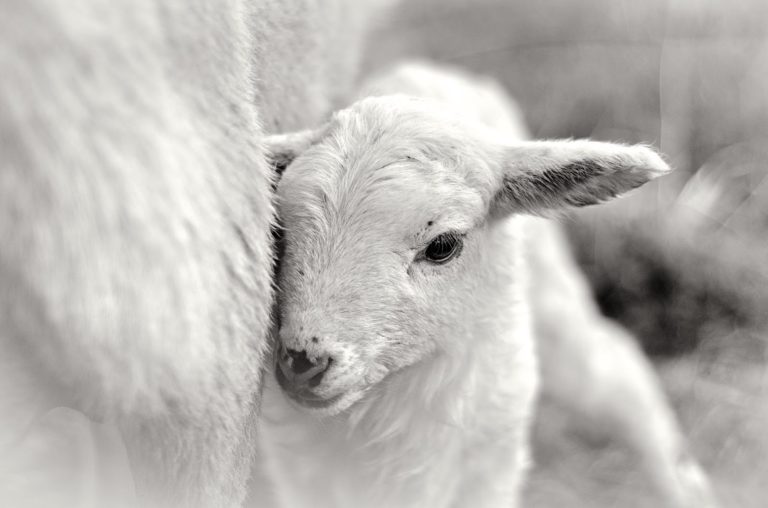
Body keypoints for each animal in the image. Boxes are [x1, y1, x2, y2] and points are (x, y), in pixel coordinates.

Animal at [260, 65, 712, 506]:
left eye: (442, 246)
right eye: (279, 232)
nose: (303, 363)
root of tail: (433, 69)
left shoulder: (492, 461)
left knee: (617, 369)